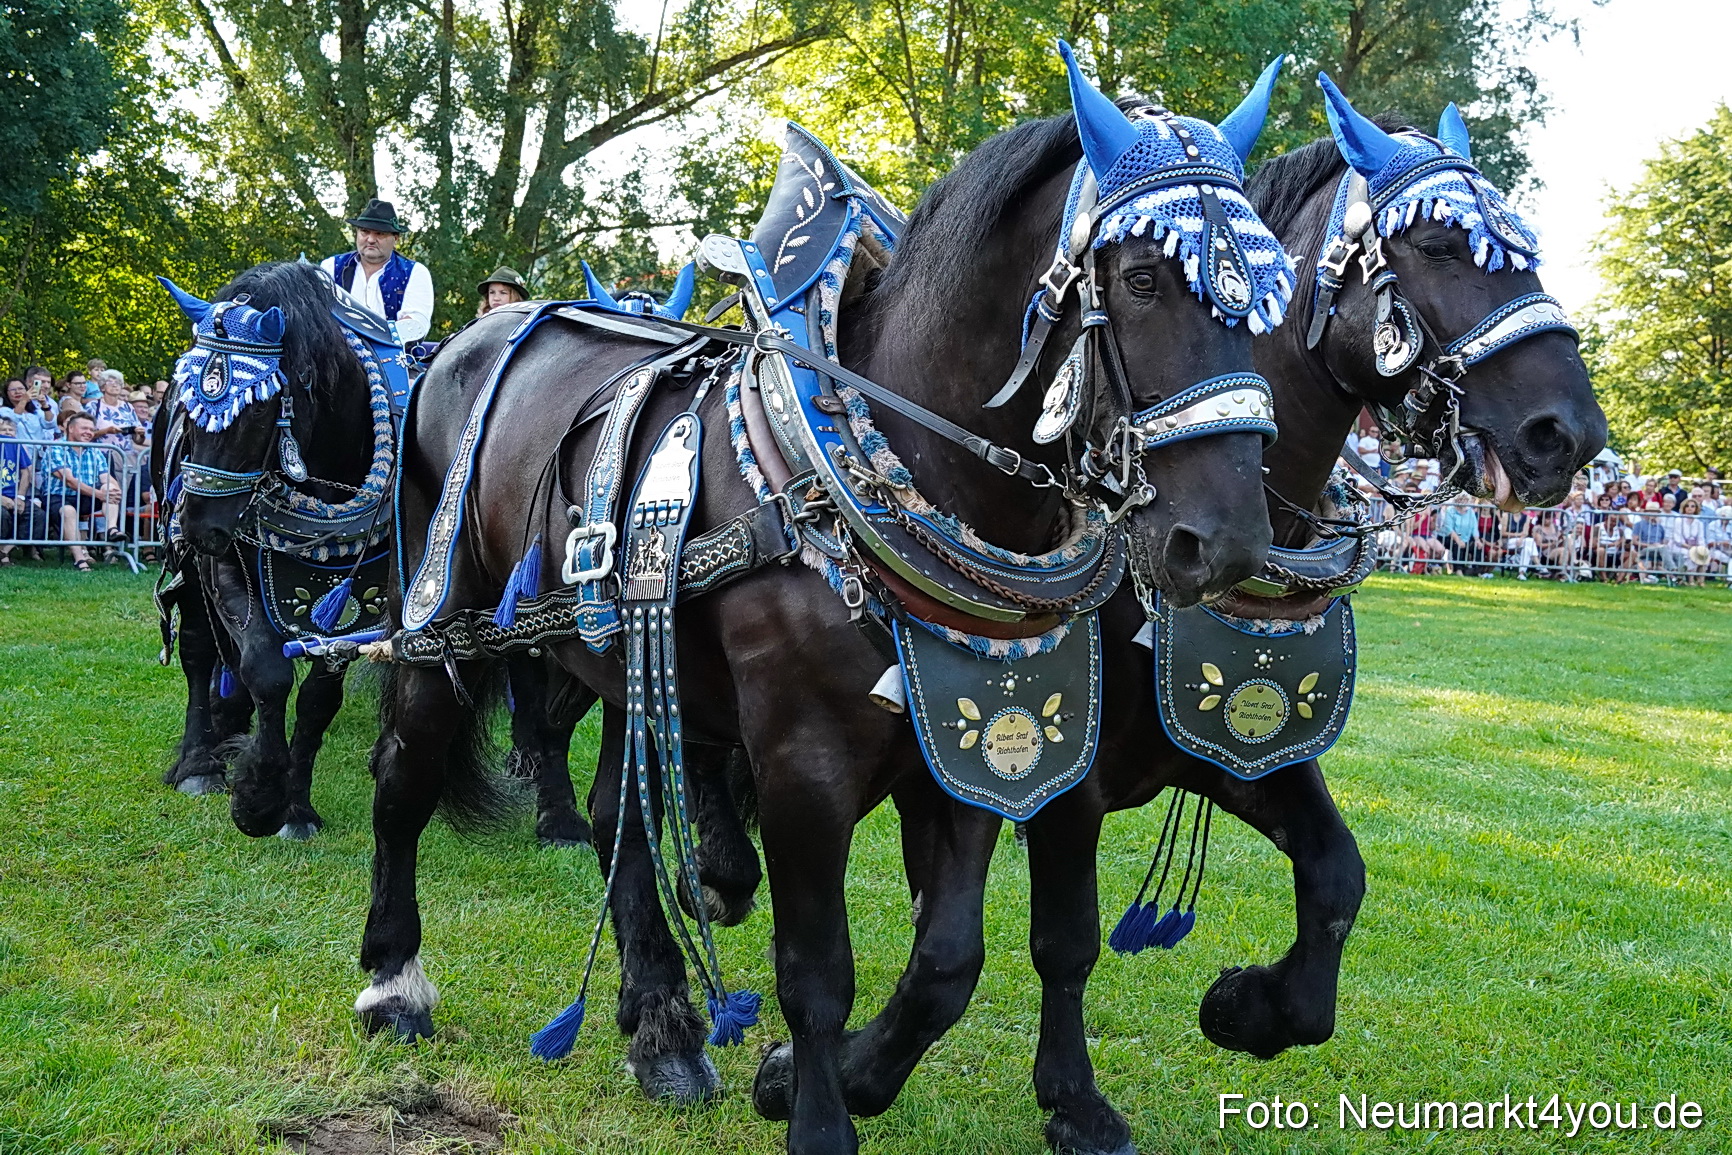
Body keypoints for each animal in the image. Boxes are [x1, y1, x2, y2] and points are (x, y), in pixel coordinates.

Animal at [152, 261, 593, 847]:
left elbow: (316, 702)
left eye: (259, 409)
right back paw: (199, 761)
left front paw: (293, 806)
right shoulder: (229, 568)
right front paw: (258, 795)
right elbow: (265, 671)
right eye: (187, 398)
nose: (199, 523)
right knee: (201, 651)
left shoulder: (354, 601)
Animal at [354, 45, 1293, 1155]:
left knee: (618, 820)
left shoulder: (969, 737)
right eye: (1144, 279)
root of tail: (473, 334)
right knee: (404, 780)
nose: (1225, 540)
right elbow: (814, 972)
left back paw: (662, 1028)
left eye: (1271, 295)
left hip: (631, 663)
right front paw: (817, 1109)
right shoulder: (801, 762)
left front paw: (837, 1077)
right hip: (437, 623)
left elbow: (947, 960)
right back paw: (392, 982)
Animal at [743, 79, 1607, 1153]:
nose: (1571, 434)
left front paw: (1250, 1008)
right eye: (1445, 246)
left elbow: (1338, 875)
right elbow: (1053, 941)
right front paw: (1052, 1095)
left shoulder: (1236, 746)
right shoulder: (1060, 777)